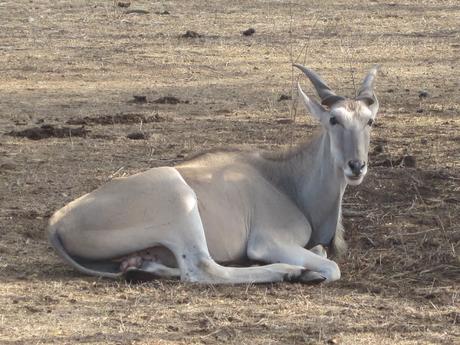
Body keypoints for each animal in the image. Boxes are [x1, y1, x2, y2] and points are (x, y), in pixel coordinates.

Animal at [46, 63, 380, 282]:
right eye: (334, 120)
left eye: (369, 121)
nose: (356, 166)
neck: (284, 179)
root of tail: (56, 223)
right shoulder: (270, 241)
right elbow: (330, 265)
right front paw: (305, 270)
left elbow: (322, 251)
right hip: (179, 200)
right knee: (201, 270)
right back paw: (291, 272)